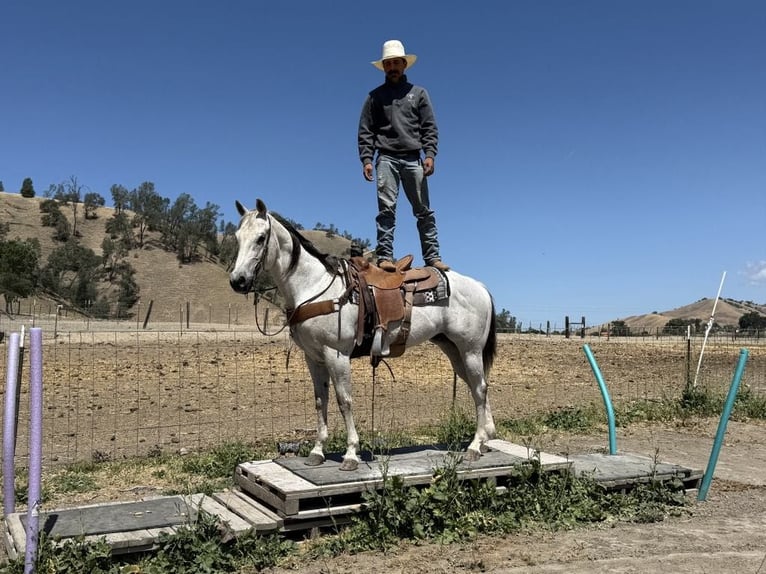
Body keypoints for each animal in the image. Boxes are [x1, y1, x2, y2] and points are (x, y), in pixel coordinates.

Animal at [229, 199, 497, 471]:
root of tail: (480, 287)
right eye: (238, 237)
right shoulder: (313, 358)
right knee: (477, 386)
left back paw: (475, 445)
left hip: (471, 350)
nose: (237, 281)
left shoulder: (336, 355)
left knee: (480, 389)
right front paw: (317, 451)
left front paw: (350, 454)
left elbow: (344, 400)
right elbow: (320, 401)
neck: (315, 286)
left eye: (261, 238)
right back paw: (486, 439)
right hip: (454, 350)